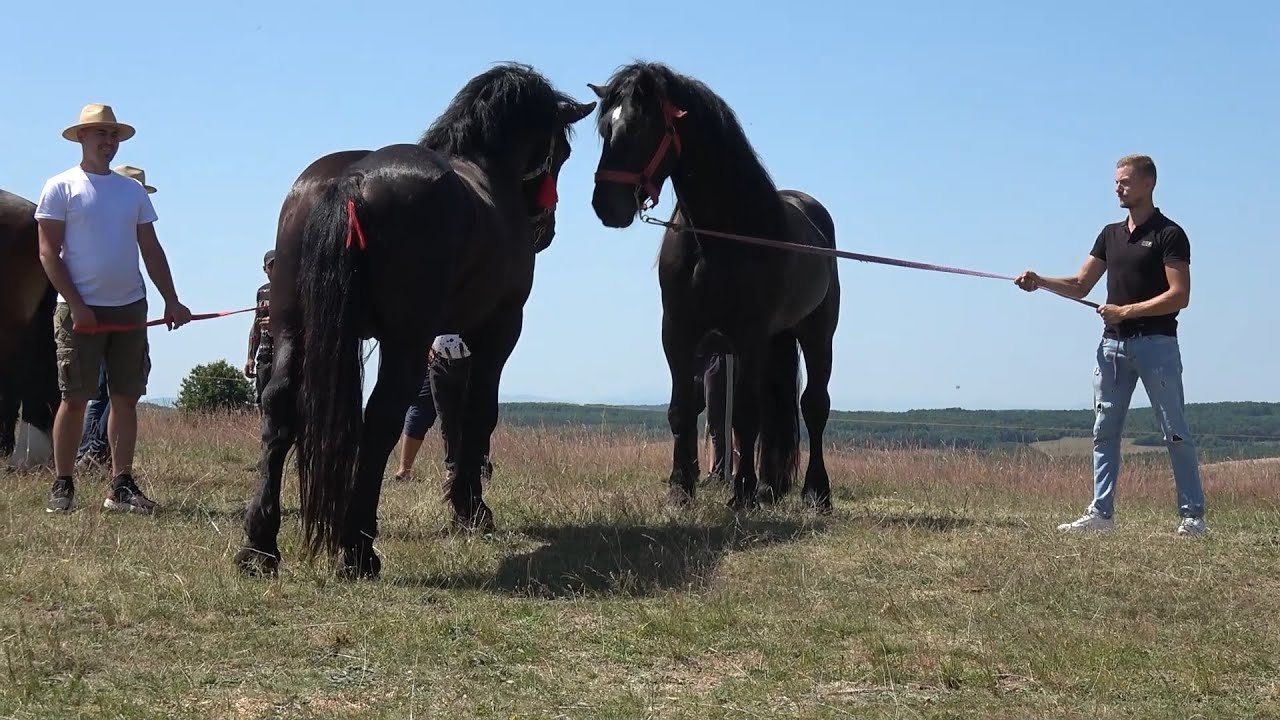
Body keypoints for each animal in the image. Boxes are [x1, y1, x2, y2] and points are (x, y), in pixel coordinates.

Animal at [233, 63, 595, 579]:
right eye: (560, 151)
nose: (545, 228)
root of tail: (350, 181)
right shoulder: (498, 329)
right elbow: (478, 416)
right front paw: (471, 510)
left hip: (290, 326)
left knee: (279, 407)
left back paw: (259, 547)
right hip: (405, 340)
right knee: (382, 418)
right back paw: (358, 550)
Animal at [586, 62, 841, 513]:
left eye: (639, 126)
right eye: (604, 128)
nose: (607, 205)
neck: (716, 237)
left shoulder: (748, 336)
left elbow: (744, 417)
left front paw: (740, 494)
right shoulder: (678, 332)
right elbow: (683, 410)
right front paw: (679, 488)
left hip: (816, 333)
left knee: (813, 406)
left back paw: (815, 492)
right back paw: (768, 487)